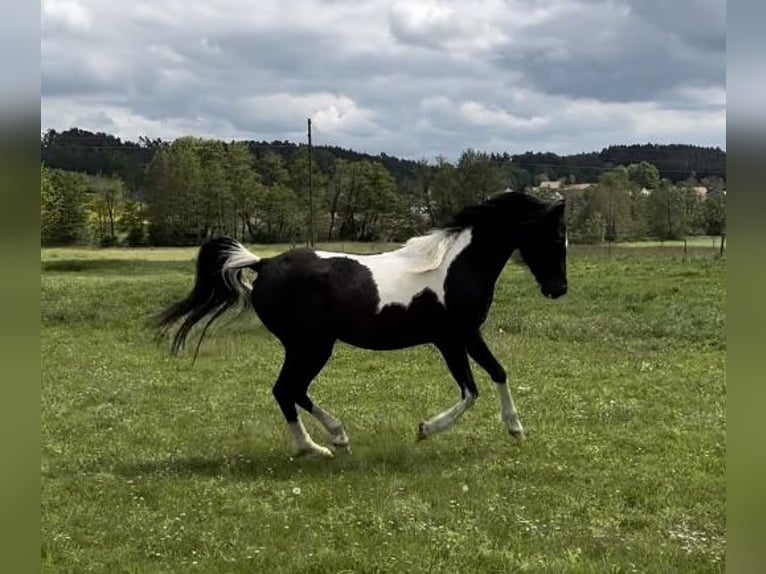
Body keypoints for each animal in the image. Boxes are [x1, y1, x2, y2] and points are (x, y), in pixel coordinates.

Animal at [156, 194, 568, 460]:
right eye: (553, 236)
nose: (558, 289)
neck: (455, 267)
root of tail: (264, 263)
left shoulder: (456, 338)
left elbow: (490, 377)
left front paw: (513, 429)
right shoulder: (457, 336)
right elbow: (477, 387)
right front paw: (431, 429)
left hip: (307, 346)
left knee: (292, 391)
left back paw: (330, 441)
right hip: (311, 346)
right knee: (286, 390)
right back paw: (323, 444)